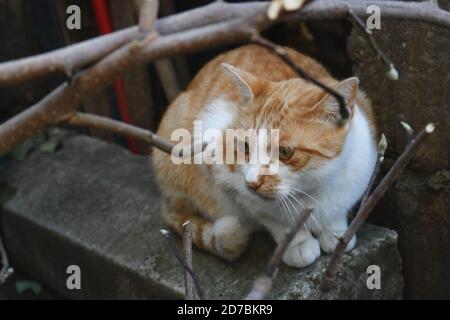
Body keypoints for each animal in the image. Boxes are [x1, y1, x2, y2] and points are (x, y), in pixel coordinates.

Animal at [153, 44, 378, 268]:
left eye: (285, 152)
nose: (252, 182)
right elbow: (276, 220)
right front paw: (298, 244)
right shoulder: (224, 172)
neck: (311, 189)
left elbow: (338, 211)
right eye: (245, 146)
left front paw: (336, 233)